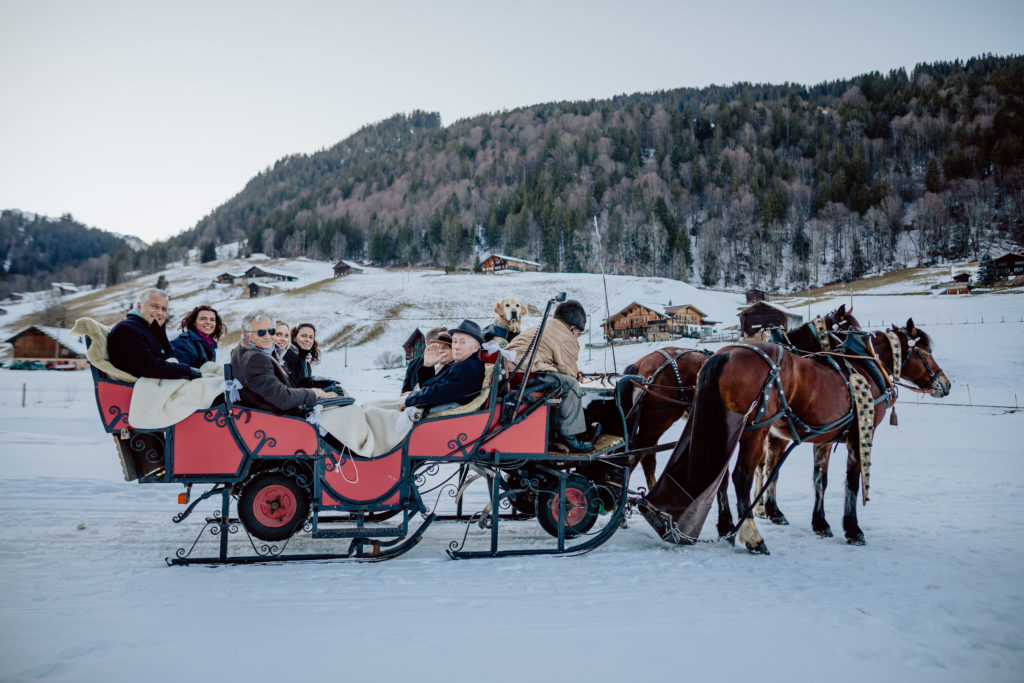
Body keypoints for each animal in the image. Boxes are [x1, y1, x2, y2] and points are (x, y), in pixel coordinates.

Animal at [647, 321, 950, 557]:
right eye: (927, 351)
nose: (945, 384)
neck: (862, 367)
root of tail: (725, 353)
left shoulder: (824, 439)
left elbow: (819, 480)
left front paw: (820, 523)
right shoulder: (858, 435)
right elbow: (851, 483)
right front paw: (853, 530)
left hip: (724, 426)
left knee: (717, 475)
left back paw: (726, 528)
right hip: (753, 430)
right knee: (740, 477)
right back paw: (753, 538)